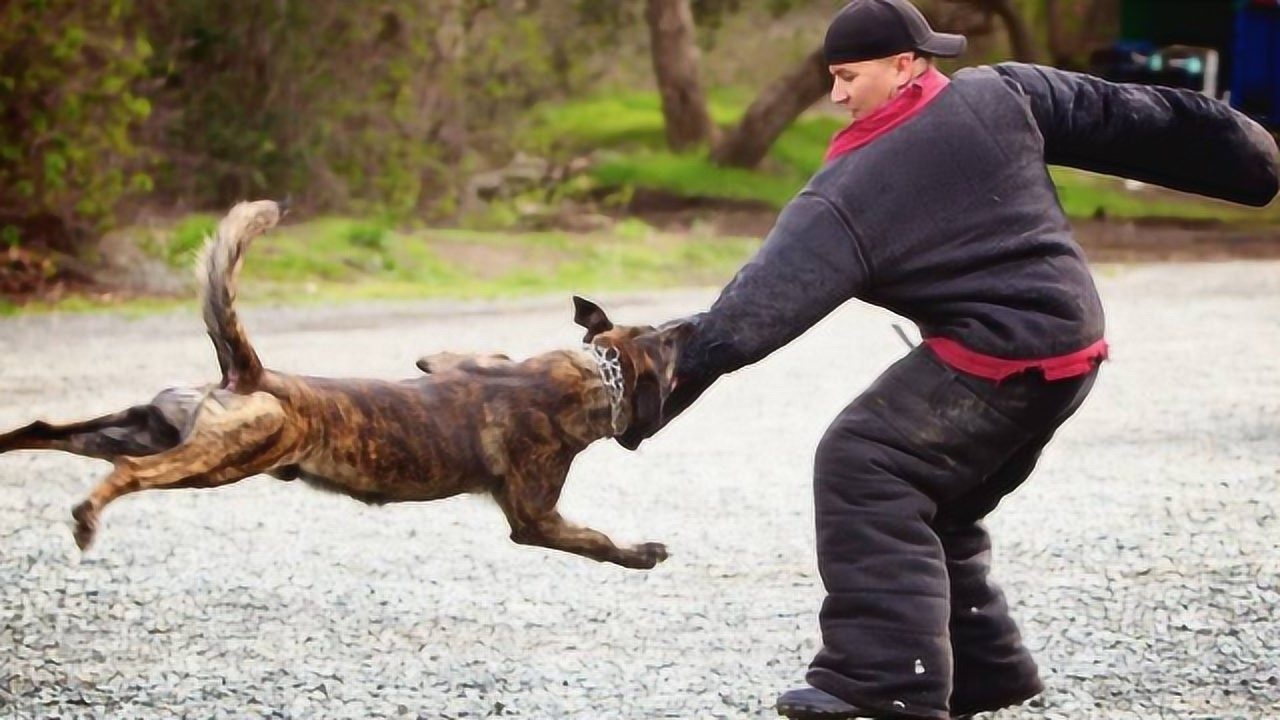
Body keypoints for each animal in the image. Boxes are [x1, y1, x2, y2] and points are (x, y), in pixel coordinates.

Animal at [0, 199, 696, 566]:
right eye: (665, 344)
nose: (689, 325)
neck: (598, 372)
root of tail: (251, 375)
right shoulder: (535, 517)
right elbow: (595, 541)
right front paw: (642, 552)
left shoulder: (453, 358)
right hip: (217, 458)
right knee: (127, 472)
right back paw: (86, 518)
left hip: (139, 426)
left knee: (44, 427)